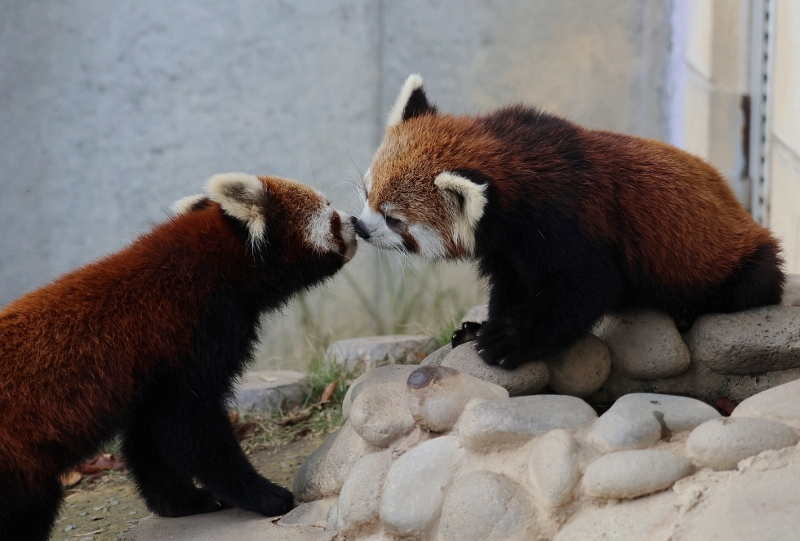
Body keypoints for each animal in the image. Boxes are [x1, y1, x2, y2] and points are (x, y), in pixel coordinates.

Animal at [0, 173, 356, 540]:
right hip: (18, 465)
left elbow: (147, 442)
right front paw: (263, 496)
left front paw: (180, 502)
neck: (217, 264)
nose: (356, 221)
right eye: (330, 211)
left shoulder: (149, 379)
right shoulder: (190, 339)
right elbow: (191, 428)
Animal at [354, 76, 788, 370]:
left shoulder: (567, 222)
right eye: (366, 192)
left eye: (394, 220)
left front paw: (507, 339)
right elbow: (511, 285)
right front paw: (479, 327)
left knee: (753, 283)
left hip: (741, 257)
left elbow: (589, 288)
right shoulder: (508, 249)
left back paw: (689, 309)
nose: (359, 227)